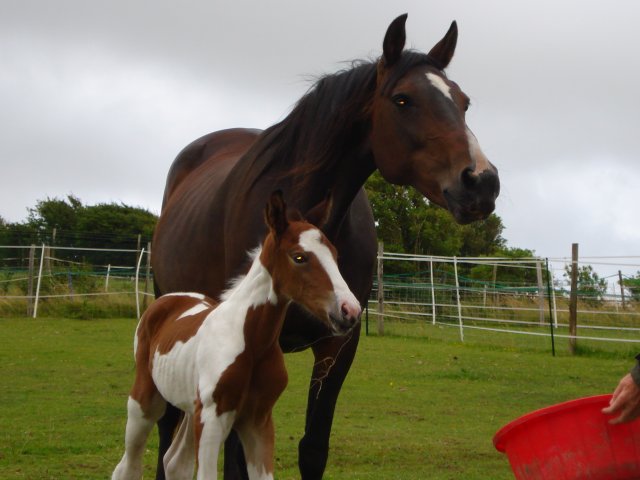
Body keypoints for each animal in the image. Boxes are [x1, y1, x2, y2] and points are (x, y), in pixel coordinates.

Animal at [113, 192, 361, 480]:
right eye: (299, 257)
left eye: (334, 254)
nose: (350, 310)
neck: (252, 340)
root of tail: (166, 300)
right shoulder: (211, 418)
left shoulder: (258, 421)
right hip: (145, 402)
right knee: (128, 466)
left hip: (189, 406)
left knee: (175, 462)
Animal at [151, 13, 500, 479]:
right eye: (403, 100)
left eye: (463, 102)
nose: (481, 181)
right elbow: (236, 458)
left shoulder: (338, 347)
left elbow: (313, 448)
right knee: (166, 426)